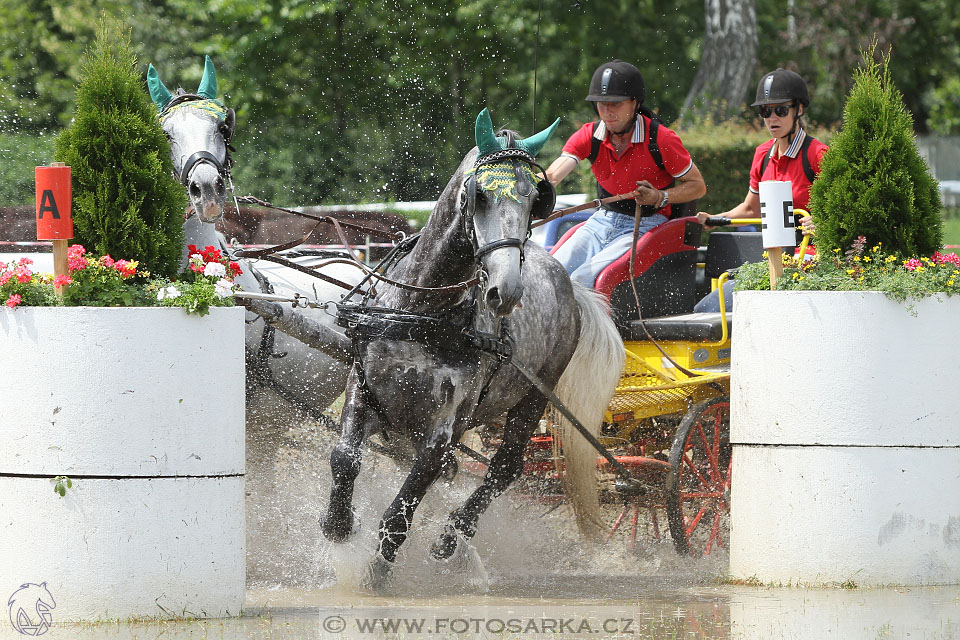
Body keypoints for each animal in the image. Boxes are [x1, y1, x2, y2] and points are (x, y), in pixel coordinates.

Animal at [318, 109, 628, 584]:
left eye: (534, 200)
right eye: (479, 195)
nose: (507, 291)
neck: (423, 311)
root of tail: (567, 280)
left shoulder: (444, 428)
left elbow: (403, 508)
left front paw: (377, 574)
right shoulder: (365, 386)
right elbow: (345, 457)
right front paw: (338, 524)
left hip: (534, 396)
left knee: (505, 468)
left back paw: (452, 537)